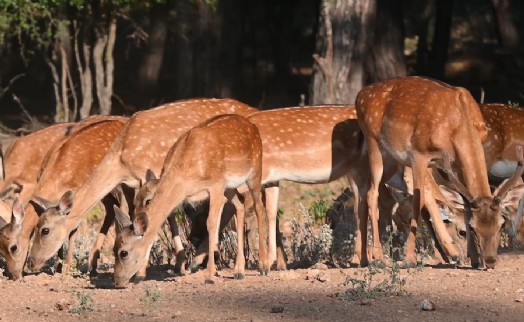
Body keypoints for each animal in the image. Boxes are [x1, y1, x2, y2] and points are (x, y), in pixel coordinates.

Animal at [0, 118, 128, 280]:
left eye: (13, 247)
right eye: (1, 251)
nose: (14, 275)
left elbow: (73, 229)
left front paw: (65, 270)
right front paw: (58, 268)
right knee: (112, 207)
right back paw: (92, 266)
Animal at [114, 114, 270, 286]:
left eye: (123, 253)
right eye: (113, 249)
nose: (116, 281)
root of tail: (252, 126)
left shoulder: (216, 184)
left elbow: (211, 224)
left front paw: (209, 276)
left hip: (255, 171)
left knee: (259, 207)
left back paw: (264, 266)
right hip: (230, 186)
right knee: (240, 203)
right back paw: (239, 271)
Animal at [356, 76, 524, 270]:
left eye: (501, 224)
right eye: (472, 228)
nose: (490, 261)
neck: (459, 124)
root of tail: (360, 95)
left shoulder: (456, 164)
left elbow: (465, 205)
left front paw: (474, 259)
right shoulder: (419, 155)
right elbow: (418, 202)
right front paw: (409, 259)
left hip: (391, 159)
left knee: (365, 193)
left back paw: (364, 259)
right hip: (373, 143)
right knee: (371, 193)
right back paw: (379, 258)